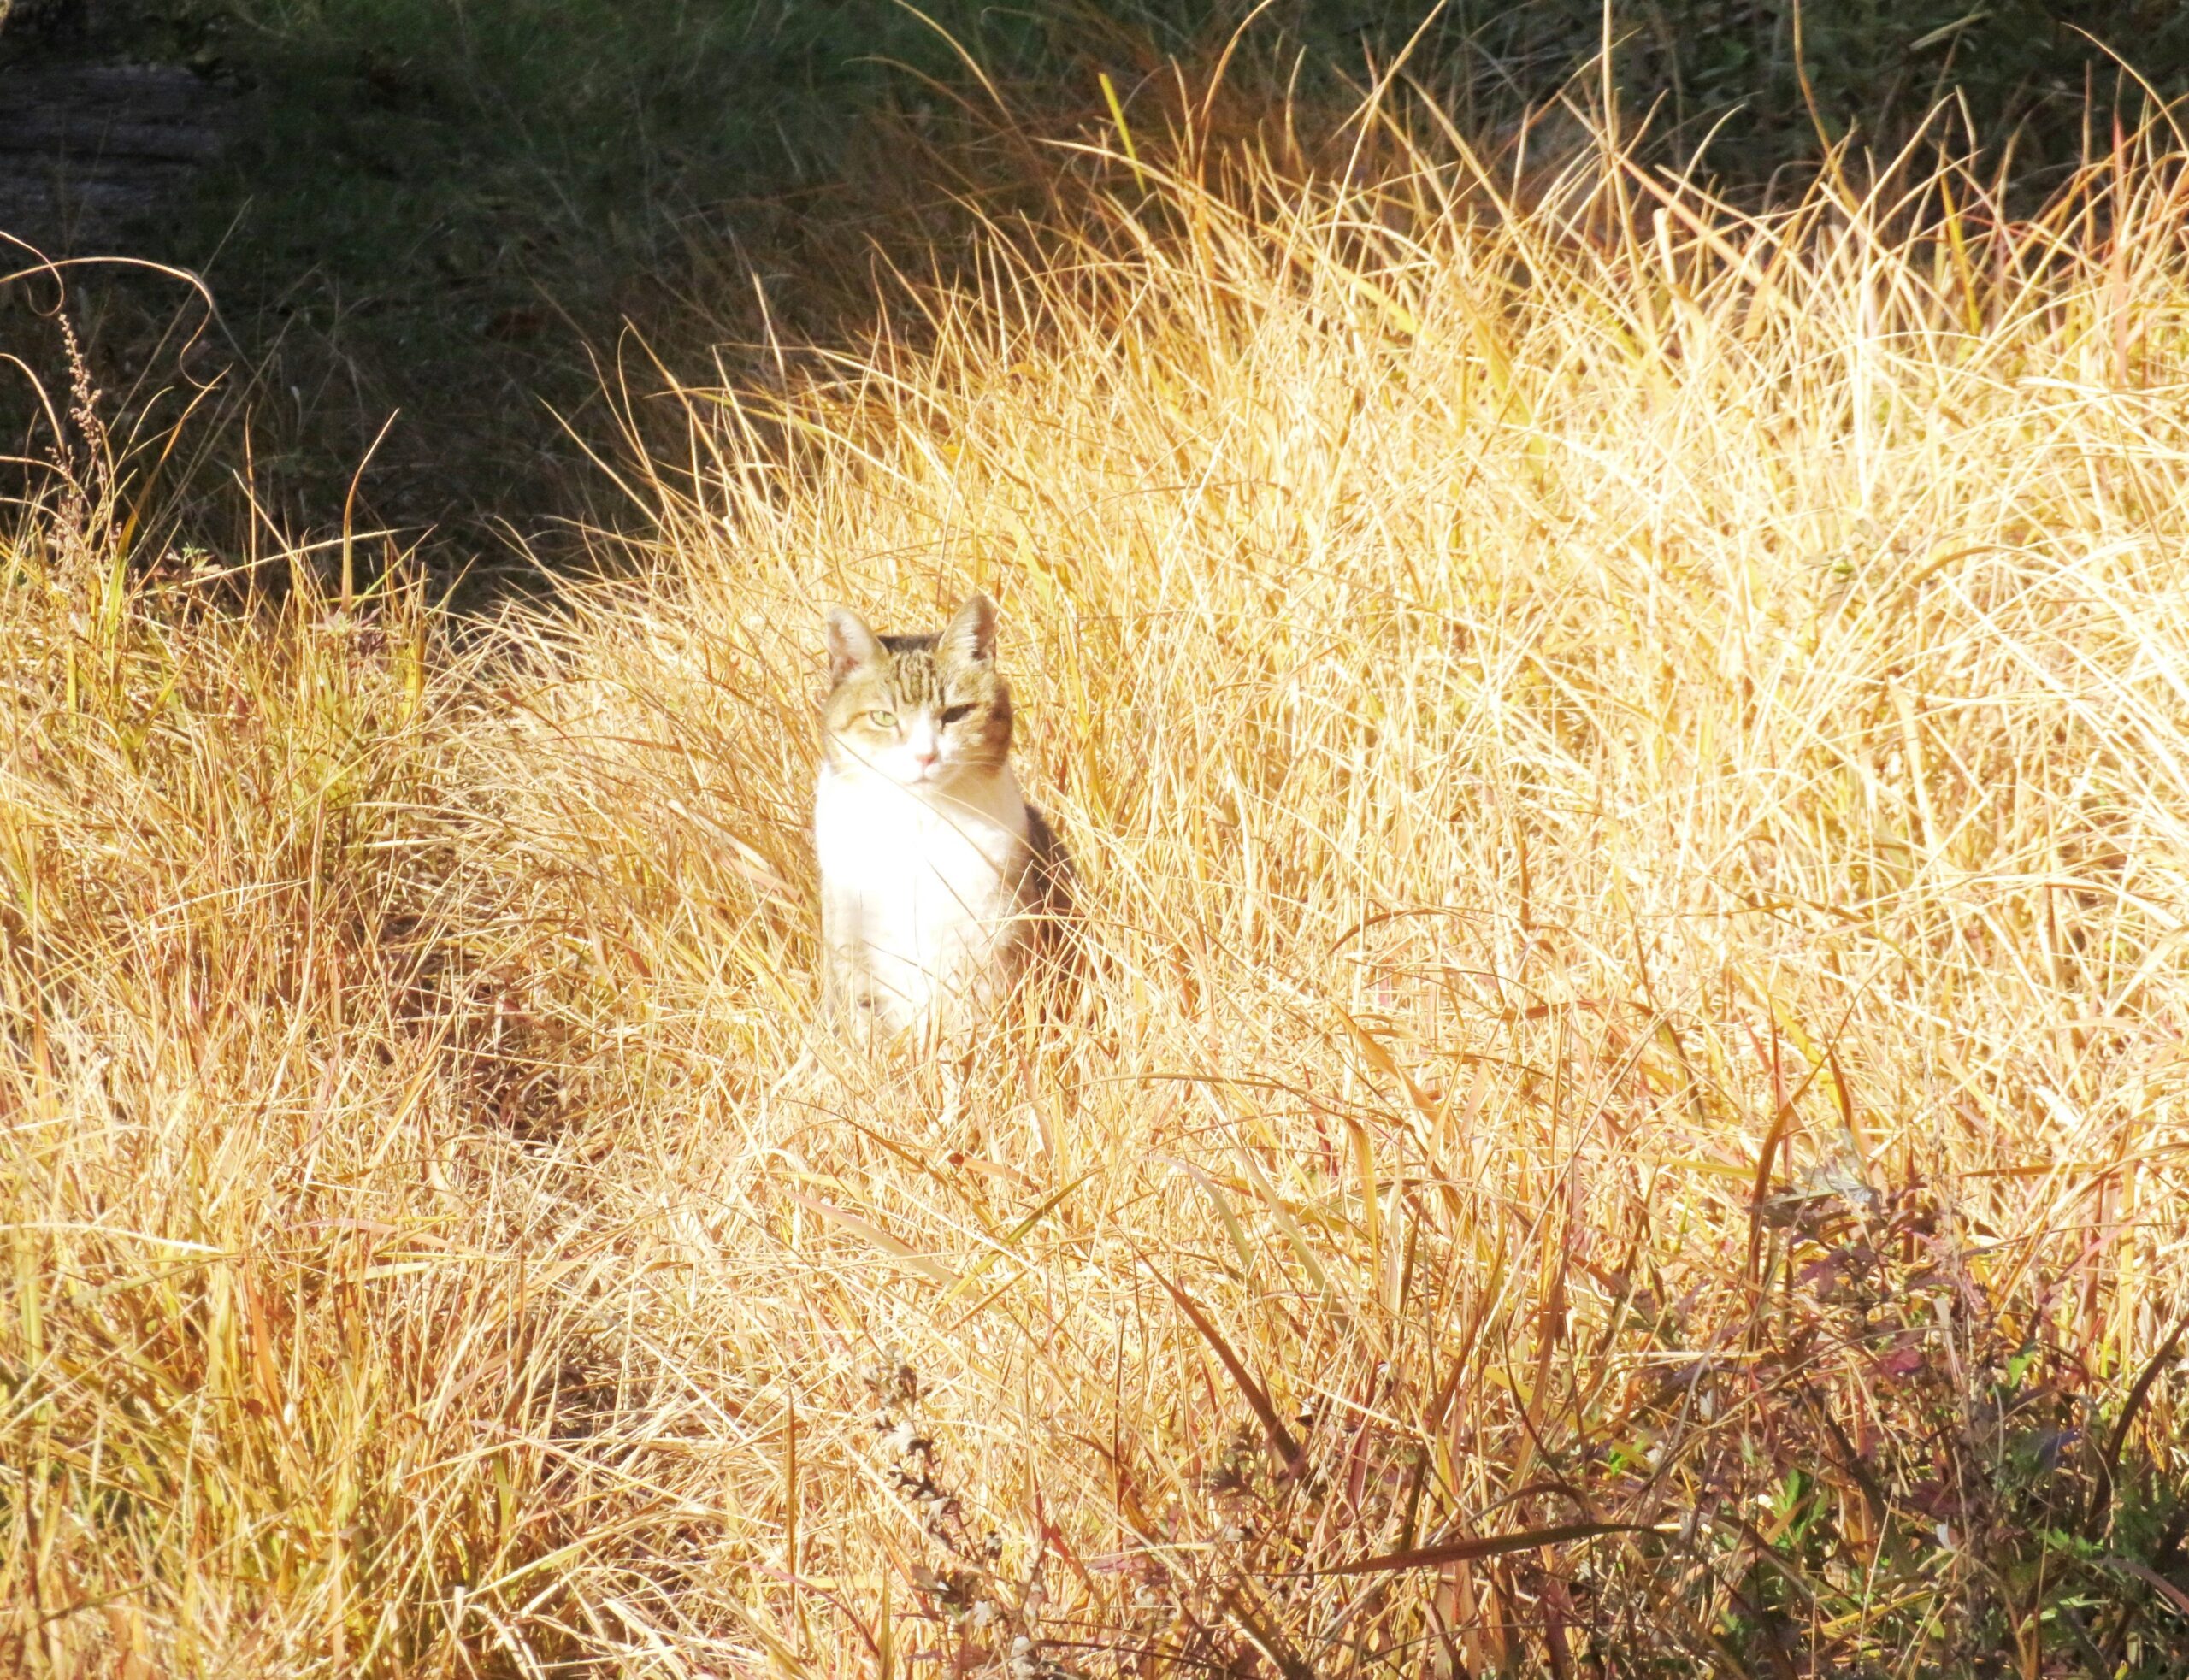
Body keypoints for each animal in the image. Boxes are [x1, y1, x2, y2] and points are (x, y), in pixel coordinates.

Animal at [814, 594, 1077, 1050]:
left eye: (956, 714)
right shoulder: (856, 948)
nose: (925, 756)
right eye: (884, 718)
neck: (919, 822)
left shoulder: (993, 943)